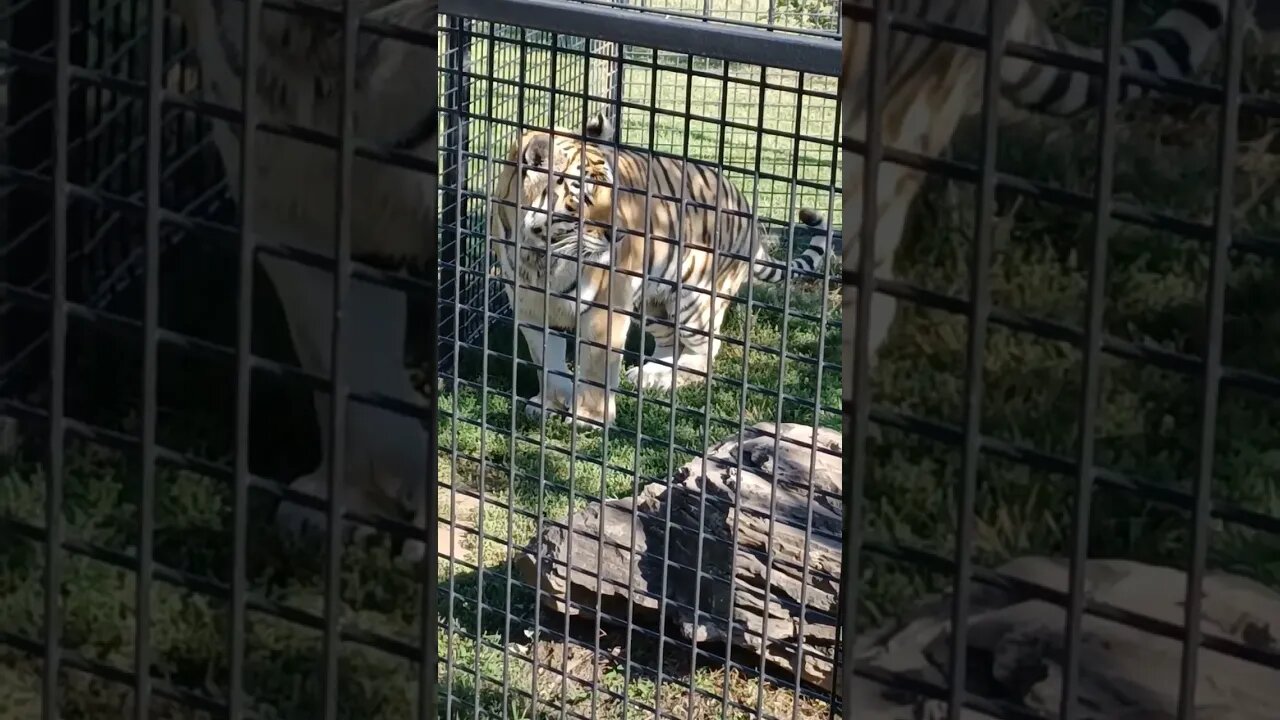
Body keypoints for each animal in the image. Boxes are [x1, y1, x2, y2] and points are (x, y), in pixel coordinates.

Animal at [486, 110, 829, 425]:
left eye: (615, 192)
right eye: (584, 197)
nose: (621, 234)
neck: (541, 256)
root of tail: (747, 208)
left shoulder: (603, 309)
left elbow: (597, 365)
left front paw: (589, 416)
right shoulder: (530, 309)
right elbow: (546, 360)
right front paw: (551, 403)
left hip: (694, 300)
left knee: (707, 350)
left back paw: (667, 379)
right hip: (654, 303)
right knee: (669, 342)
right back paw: (650, 374)